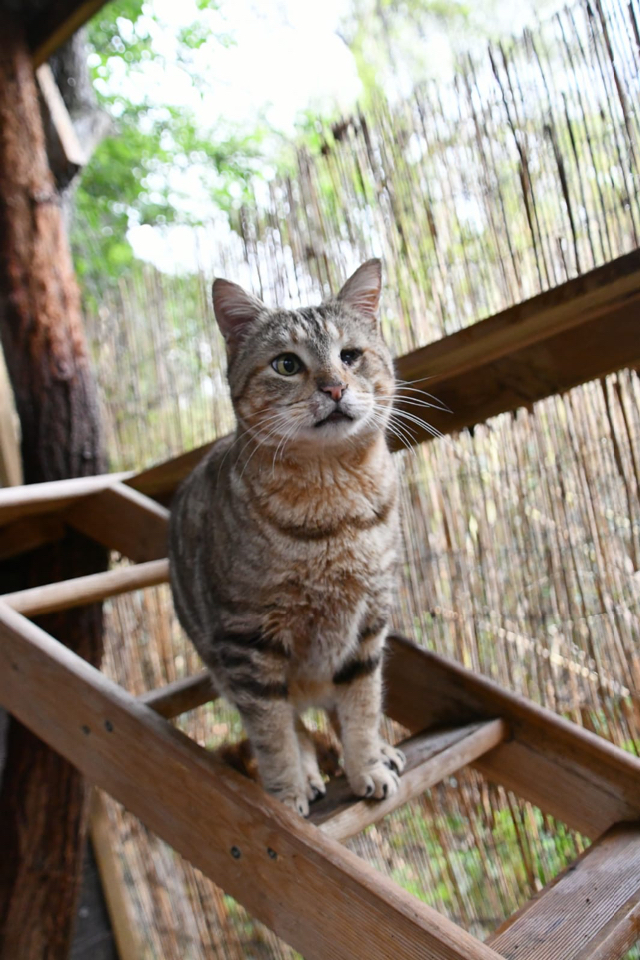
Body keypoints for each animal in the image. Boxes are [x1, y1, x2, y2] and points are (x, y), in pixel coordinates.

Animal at [169, 260, 406, 816]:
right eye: (286, 365)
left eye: (349, 356)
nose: (334, 387)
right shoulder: (247, 643)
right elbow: (274, 734)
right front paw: (286, 792)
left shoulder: (368, 627)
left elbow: (361, 708)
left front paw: (367, 765)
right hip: (224, 667)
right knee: (289, 720)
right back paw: (307, 773)